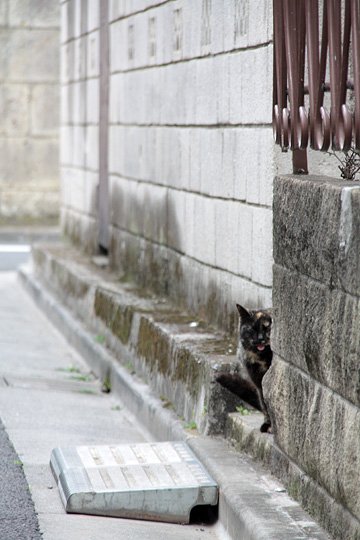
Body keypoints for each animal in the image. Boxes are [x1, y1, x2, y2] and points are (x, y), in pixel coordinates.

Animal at [217, 304, 272, 434]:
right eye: (252, 329)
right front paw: (268, 424)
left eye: (268, 328)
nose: (261, 338)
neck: (263, 357)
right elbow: (265, 403)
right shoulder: (258, 384)